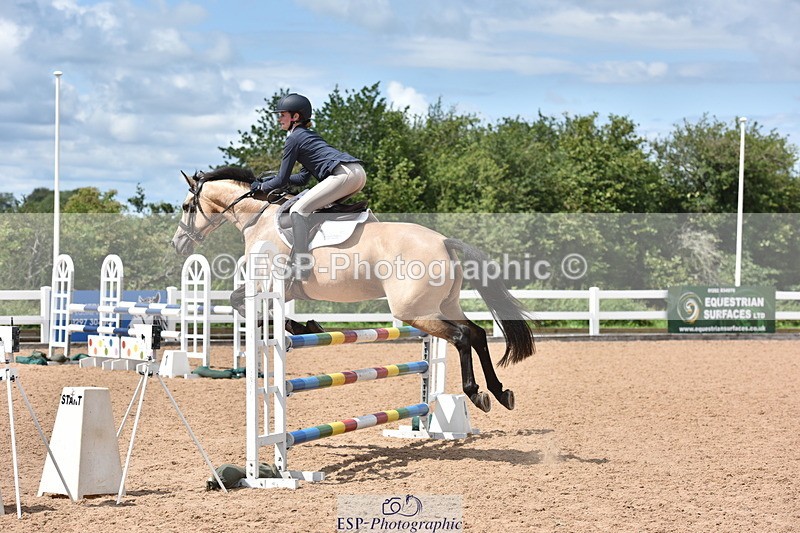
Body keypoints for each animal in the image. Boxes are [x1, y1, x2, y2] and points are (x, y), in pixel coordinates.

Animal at [171, 166, 535, 413]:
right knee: (476, 333)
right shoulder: (284, 291)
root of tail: (443, 241)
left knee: (461, 337)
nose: (178, 245)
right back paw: (499, 391)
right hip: (444, 305)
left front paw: (300, 327)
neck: (257, 217)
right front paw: (306, 325)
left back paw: (475, 392)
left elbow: (241, 304)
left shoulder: (268, 284)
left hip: (414, 312)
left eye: (187, 207)